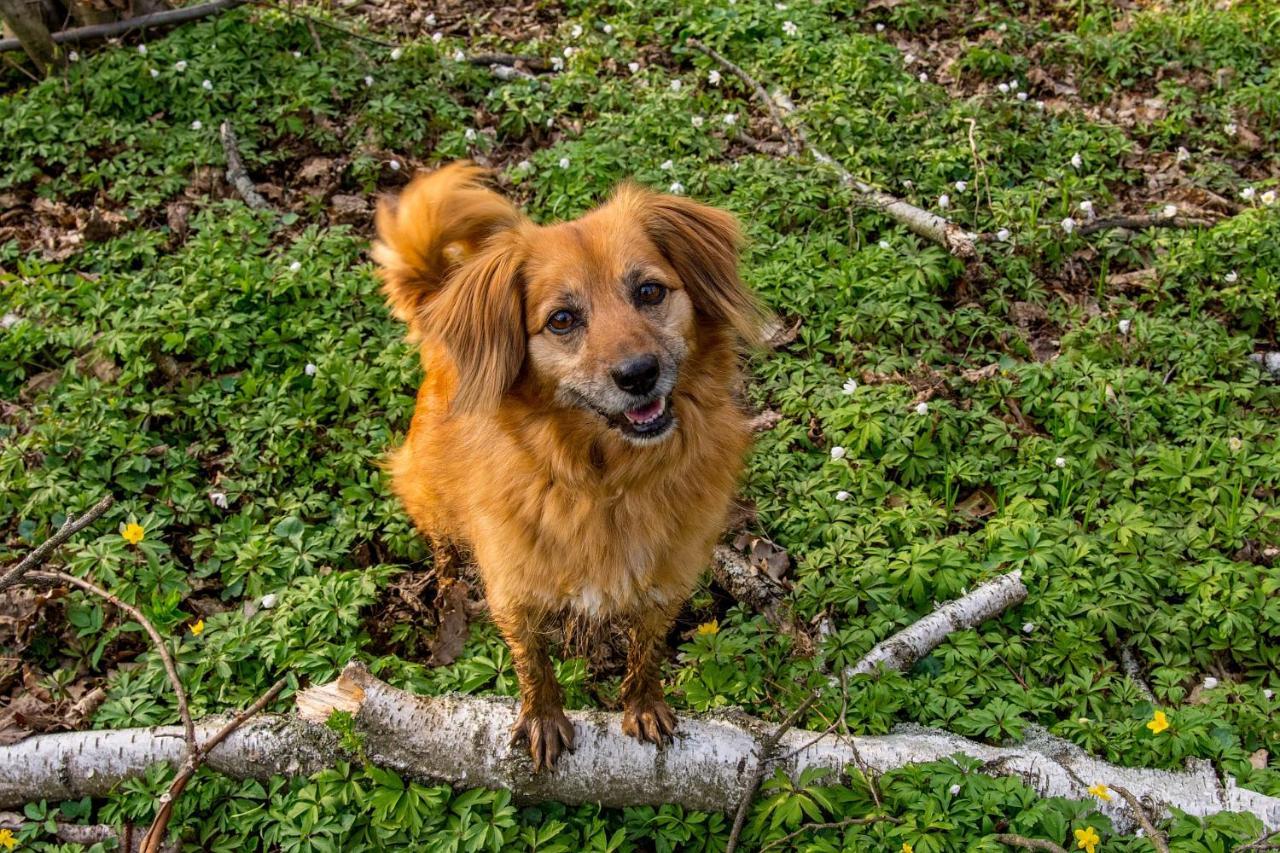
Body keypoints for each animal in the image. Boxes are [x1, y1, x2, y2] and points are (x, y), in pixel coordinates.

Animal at [373, 162, 762, 768]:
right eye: (561, 320)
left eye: (650, 291)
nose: (639, 374)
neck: (605, 478)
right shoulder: (512, 586)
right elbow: (532, 661)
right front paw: (543, 718)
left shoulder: (666, 581)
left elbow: (646, 652)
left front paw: (643, 705)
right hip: (428, 487)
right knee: (440, 541)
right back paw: (446, 585)